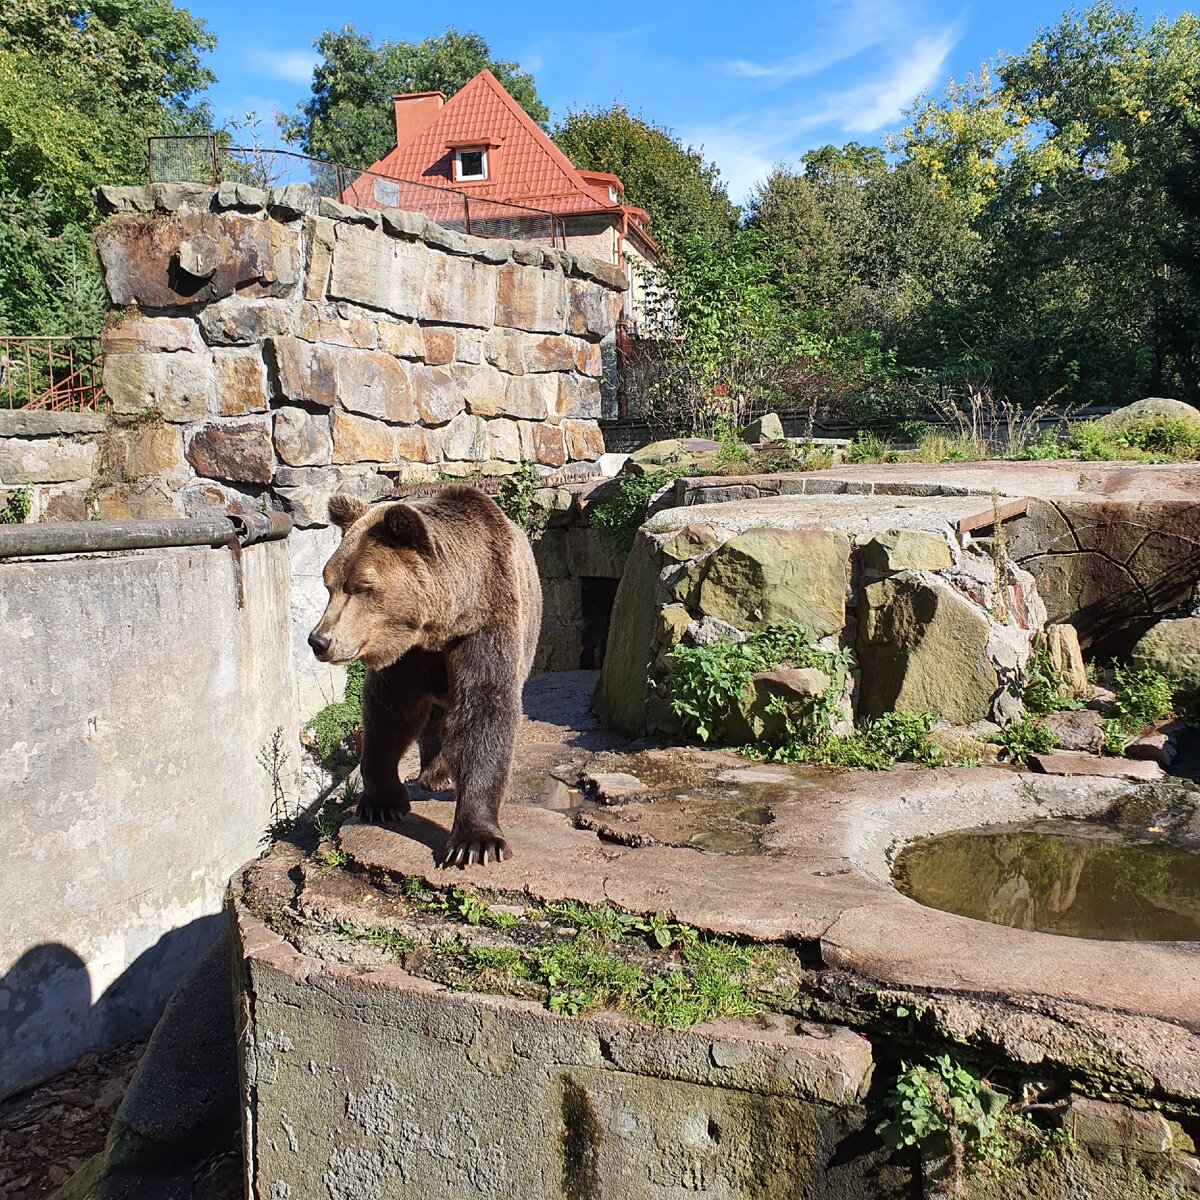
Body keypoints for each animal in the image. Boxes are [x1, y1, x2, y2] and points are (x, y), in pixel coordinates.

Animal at [307, 482, 542, 868]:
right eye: (329, 584)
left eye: (361, 587)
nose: (319, 640)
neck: (442, 625)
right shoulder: (408, 656)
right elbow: (390, 713)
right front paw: (382, 803)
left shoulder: (487, 626)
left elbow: (486, 710)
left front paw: (476, 841)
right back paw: (435, 772)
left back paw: (442, 775)